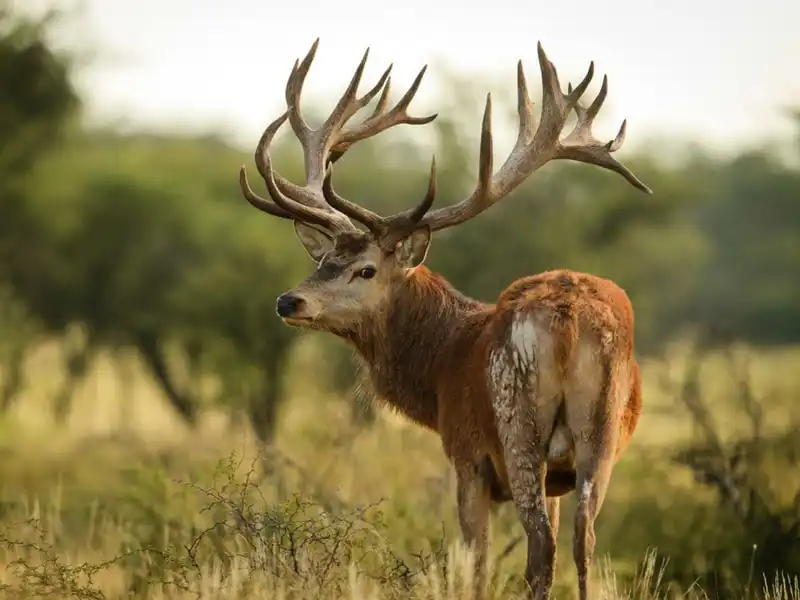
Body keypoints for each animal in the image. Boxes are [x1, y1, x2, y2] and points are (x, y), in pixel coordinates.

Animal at [237, 38, 650, 600]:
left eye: (366, 269)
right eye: (322, 262)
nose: (288, 302)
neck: (439, 368)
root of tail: (566, 321)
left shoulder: (467, 453)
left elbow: (474, 563)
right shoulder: (555, 474)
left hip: (516, 426)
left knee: (541, 546)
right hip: (599, 437)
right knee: (583, 543)